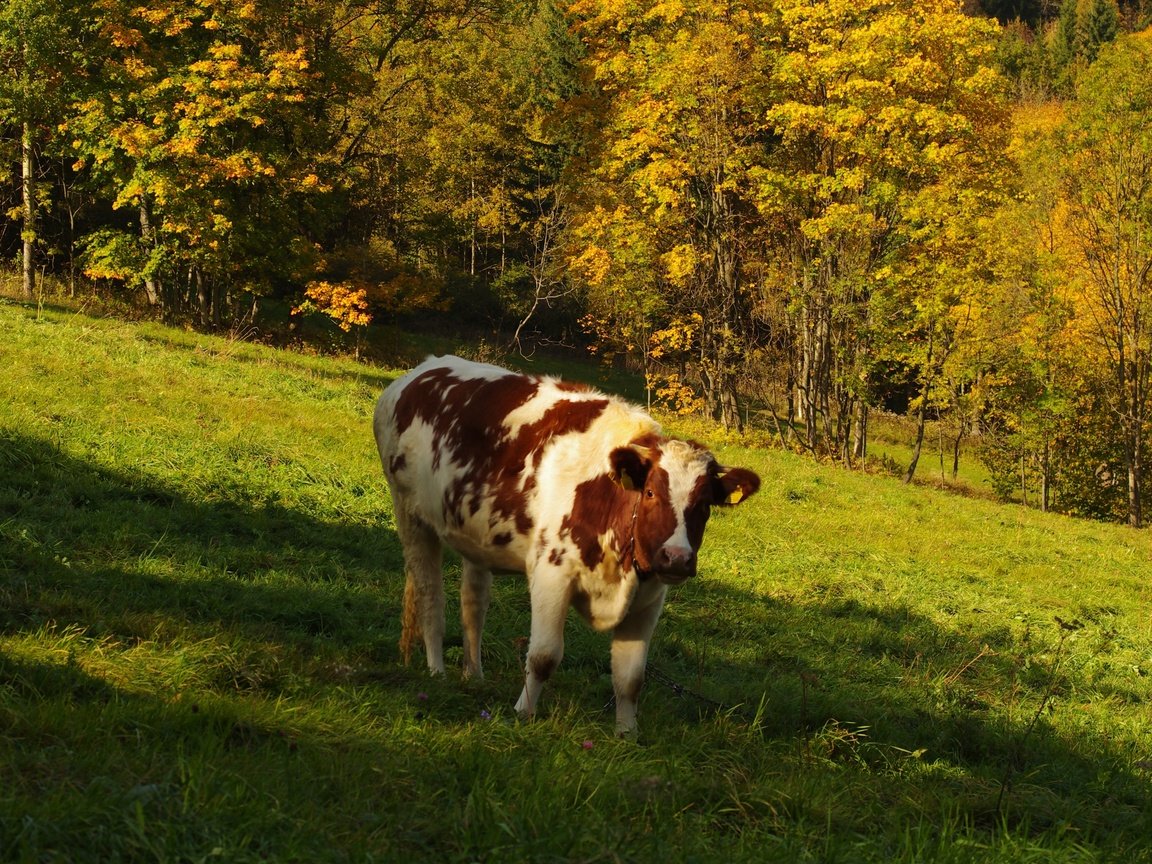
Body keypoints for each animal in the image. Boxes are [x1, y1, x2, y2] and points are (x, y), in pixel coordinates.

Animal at [373, 357, 760, 737]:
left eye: (705, 504)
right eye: (650, 492)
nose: (677, 558)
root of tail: (421, 371)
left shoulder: (649, 598)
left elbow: (630, 677)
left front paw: (627, 736)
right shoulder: (551, 575)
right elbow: (544, 656)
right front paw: (523, 713)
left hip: (475, 536)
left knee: (473, 604)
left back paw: (474, 675)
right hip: (410, 514)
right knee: (430, 595)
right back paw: (436, 671)